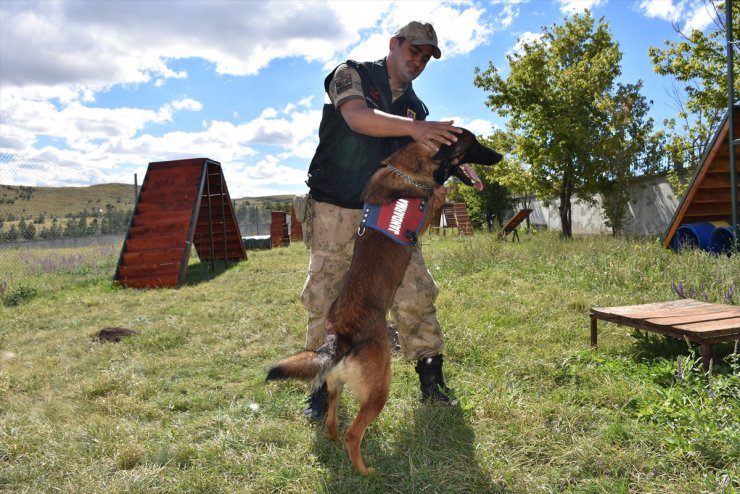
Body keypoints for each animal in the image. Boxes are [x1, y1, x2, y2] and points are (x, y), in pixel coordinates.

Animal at [266, 129, 502, 476]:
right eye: (474, 143)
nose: (500, 157)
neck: (406, 169)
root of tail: (340, 337)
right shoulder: (427, 214)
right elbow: (436, 202)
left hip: (337, 385)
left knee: (334, 417)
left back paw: (333, 438)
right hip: (379, 389)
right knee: (353, 433)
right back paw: (367, 471)